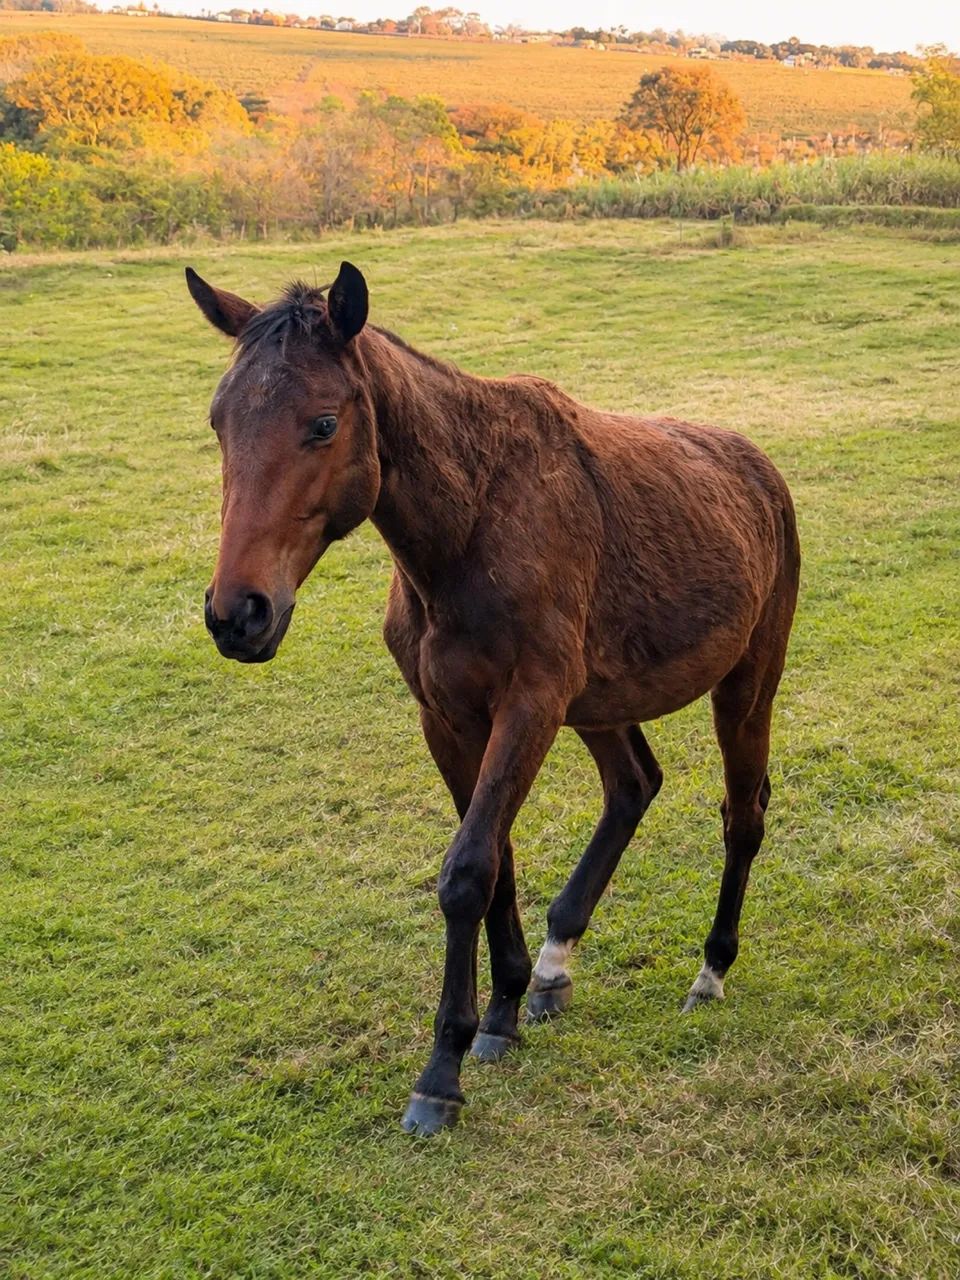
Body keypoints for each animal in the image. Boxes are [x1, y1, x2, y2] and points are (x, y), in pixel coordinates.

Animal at [185, 260, 800, 1136]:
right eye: (218, 423)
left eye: (323, 423)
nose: (238, 614)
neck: (472, 523)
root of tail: (759, 469)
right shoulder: (448, 718)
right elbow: (496, 857)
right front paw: (504, 1008)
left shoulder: (529, 704)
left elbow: (469, 869)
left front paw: (441, 1070)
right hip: (599, 702)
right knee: (633, 786)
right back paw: (552, 967)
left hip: (747, 684)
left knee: (742, 816)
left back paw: (710, 970)